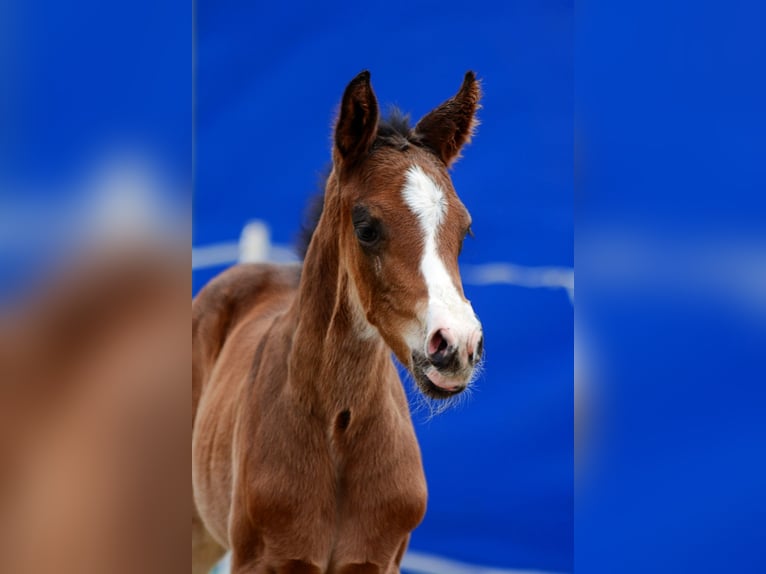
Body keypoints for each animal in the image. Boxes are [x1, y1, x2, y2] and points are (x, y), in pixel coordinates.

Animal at [192, 70, 484, 574]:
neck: (338, 424)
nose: (457, 345)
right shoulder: (264, 560)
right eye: (365, 227)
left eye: (464, 230)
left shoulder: (376, 560)